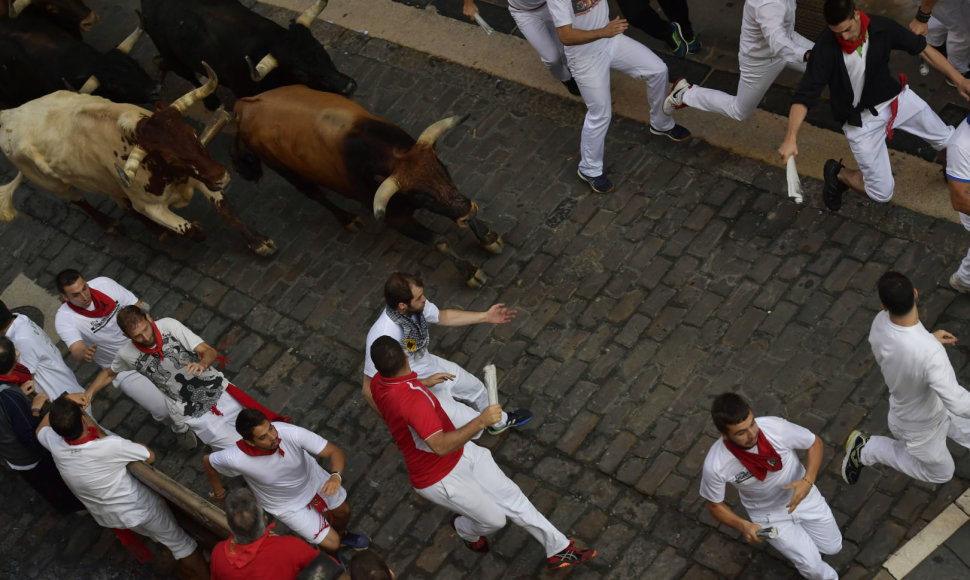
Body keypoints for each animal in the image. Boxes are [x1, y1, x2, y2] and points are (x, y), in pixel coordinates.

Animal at [233, 85, 500, 286]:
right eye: (423, 196)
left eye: (443, 168)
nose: (467, 212)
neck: (387, 155)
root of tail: (243, 106)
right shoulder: (395, 218)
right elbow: (438, 241)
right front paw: (470, 272)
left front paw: (487, 236)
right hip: (288, 172)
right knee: (316, 195)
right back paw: (347, 219)